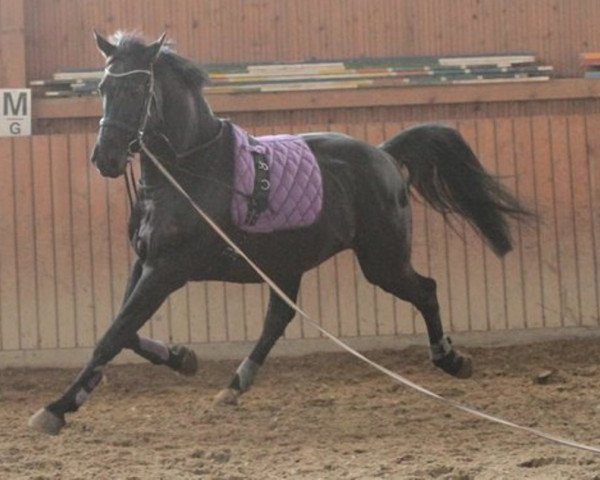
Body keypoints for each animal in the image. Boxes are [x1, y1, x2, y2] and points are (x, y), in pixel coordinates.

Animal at [29, 31, 528, 434]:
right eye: (103, 87)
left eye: (137, 87)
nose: (106, 158)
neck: (189, 169)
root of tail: (384, 155)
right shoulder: (145, 261)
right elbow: (123, 330)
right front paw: (182, 358)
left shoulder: (168, 269)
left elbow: (114, 334)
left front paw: (56, 408)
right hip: (287, 263)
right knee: (279, 318)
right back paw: (235, 384)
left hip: (381, 261)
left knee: (425, 289)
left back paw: (451, 359)